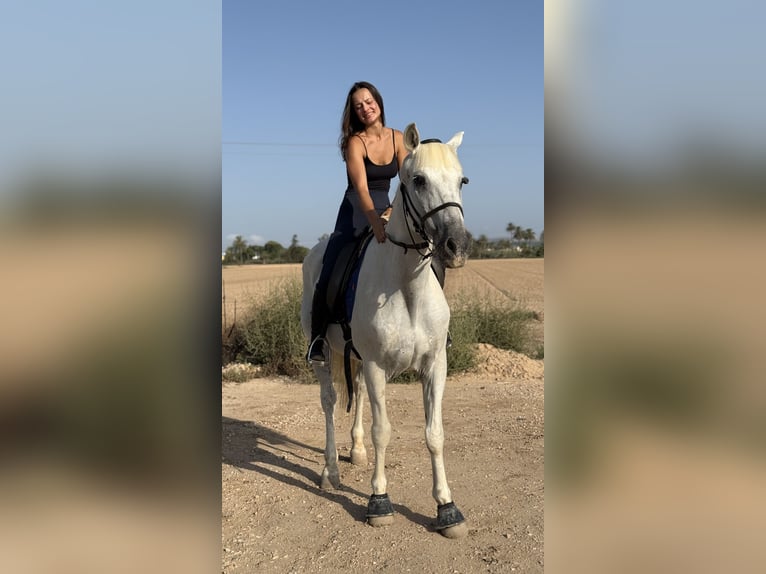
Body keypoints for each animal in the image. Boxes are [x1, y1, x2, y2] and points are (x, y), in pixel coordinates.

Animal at [300, 123, 471, 539]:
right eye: (419, 180)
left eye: (462, 180)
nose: (456, 247)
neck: (406, 287)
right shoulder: (378, 367)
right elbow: (384, 431)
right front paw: (379, 501)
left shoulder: (434, 366)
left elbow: (434, 434)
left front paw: (447, 507)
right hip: (322, 356)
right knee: (329, 402)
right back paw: (330, 470)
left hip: (357, 358)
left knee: (357, 392)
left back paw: (356, 452)